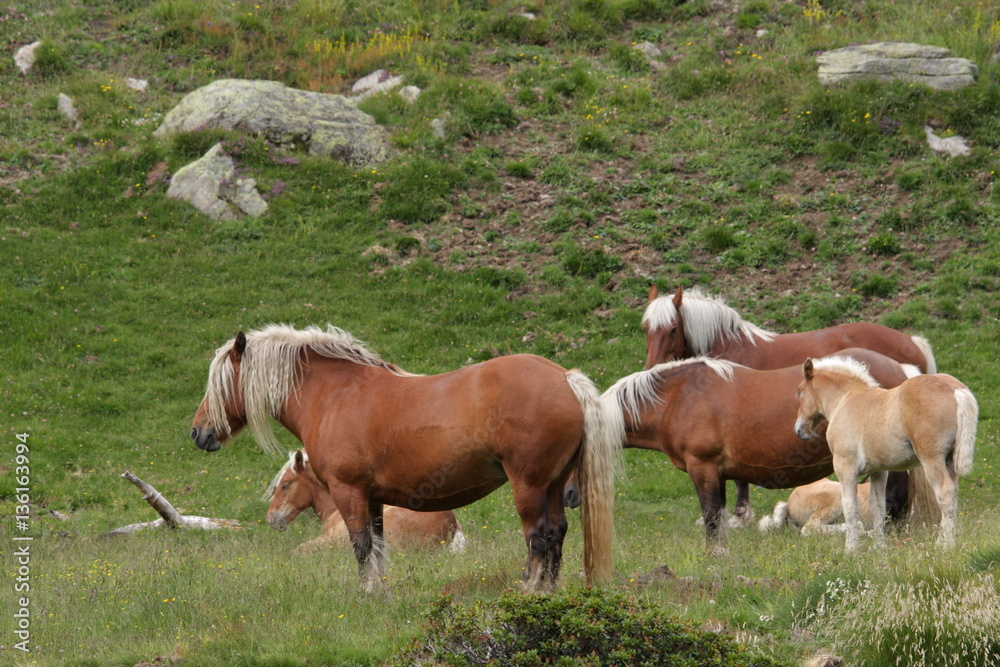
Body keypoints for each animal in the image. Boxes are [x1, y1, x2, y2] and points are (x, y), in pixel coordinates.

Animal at [641, 284, 937, 525]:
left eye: (673, 328)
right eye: (646, 328)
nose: (652, 371)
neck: (731, 350)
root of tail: (910, 344)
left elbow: (739, 477)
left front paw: (740, 516)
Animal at [795, 356, 977, 552]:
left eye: (799, 393)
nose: (799, 430)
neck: (845, 400)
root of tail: (955, 389)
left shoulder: (845, 467)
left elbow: (850, 507)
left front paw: (851, 549)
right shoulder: (878, 471)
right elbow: (877, 507)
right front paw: (879, 547)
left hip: (932, 459)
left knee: (945, 493)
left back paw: (945, 545)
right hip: (949, 460)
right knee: (953, 494)